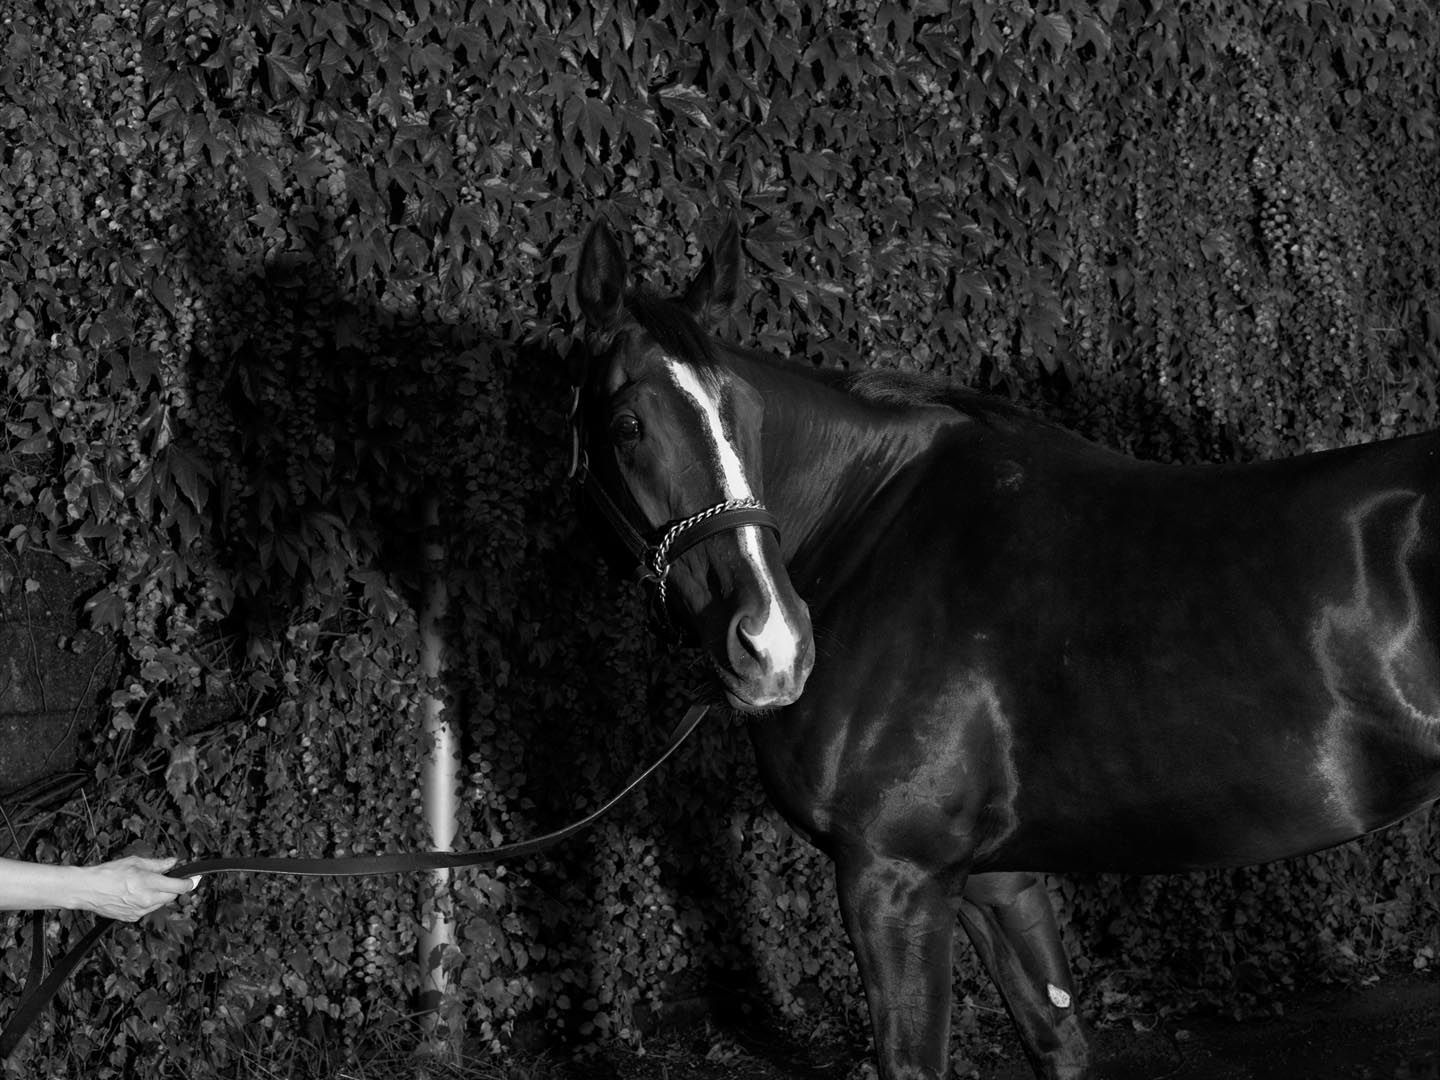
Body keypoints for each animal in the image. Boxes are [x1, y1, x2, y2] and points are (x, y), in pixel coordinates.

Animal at [568, 217, 1440, 1080]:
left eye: (742, 419)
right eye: (627, 426)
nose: (772, 642)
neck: (873, 531)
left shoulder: (895, 878)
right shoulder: (998, 881)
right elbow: (1058, 1041)